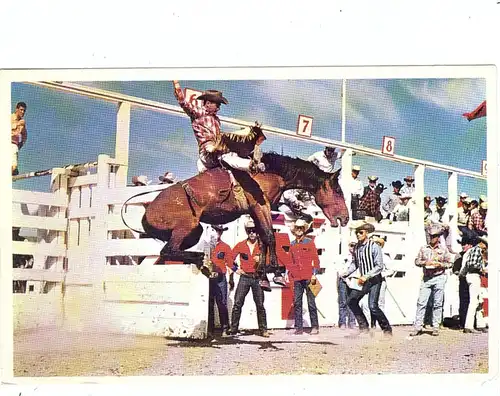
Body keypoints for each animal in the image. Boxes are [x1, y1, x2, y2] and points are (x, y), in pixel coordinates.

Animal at [122, 124, 348, 290]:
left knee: (166, 253)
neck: (270, 172)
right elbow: (269, 236)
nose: (345, 218)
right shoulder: (260, 206)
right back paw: (203, 260)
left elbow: (263, 238)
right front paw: (275, 272)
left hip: (192, 232)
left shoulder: (258, 209)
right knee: (168, 251)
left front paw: (262, 273)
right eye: (338, 190)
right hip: (187, 227)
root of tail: (147, 211)